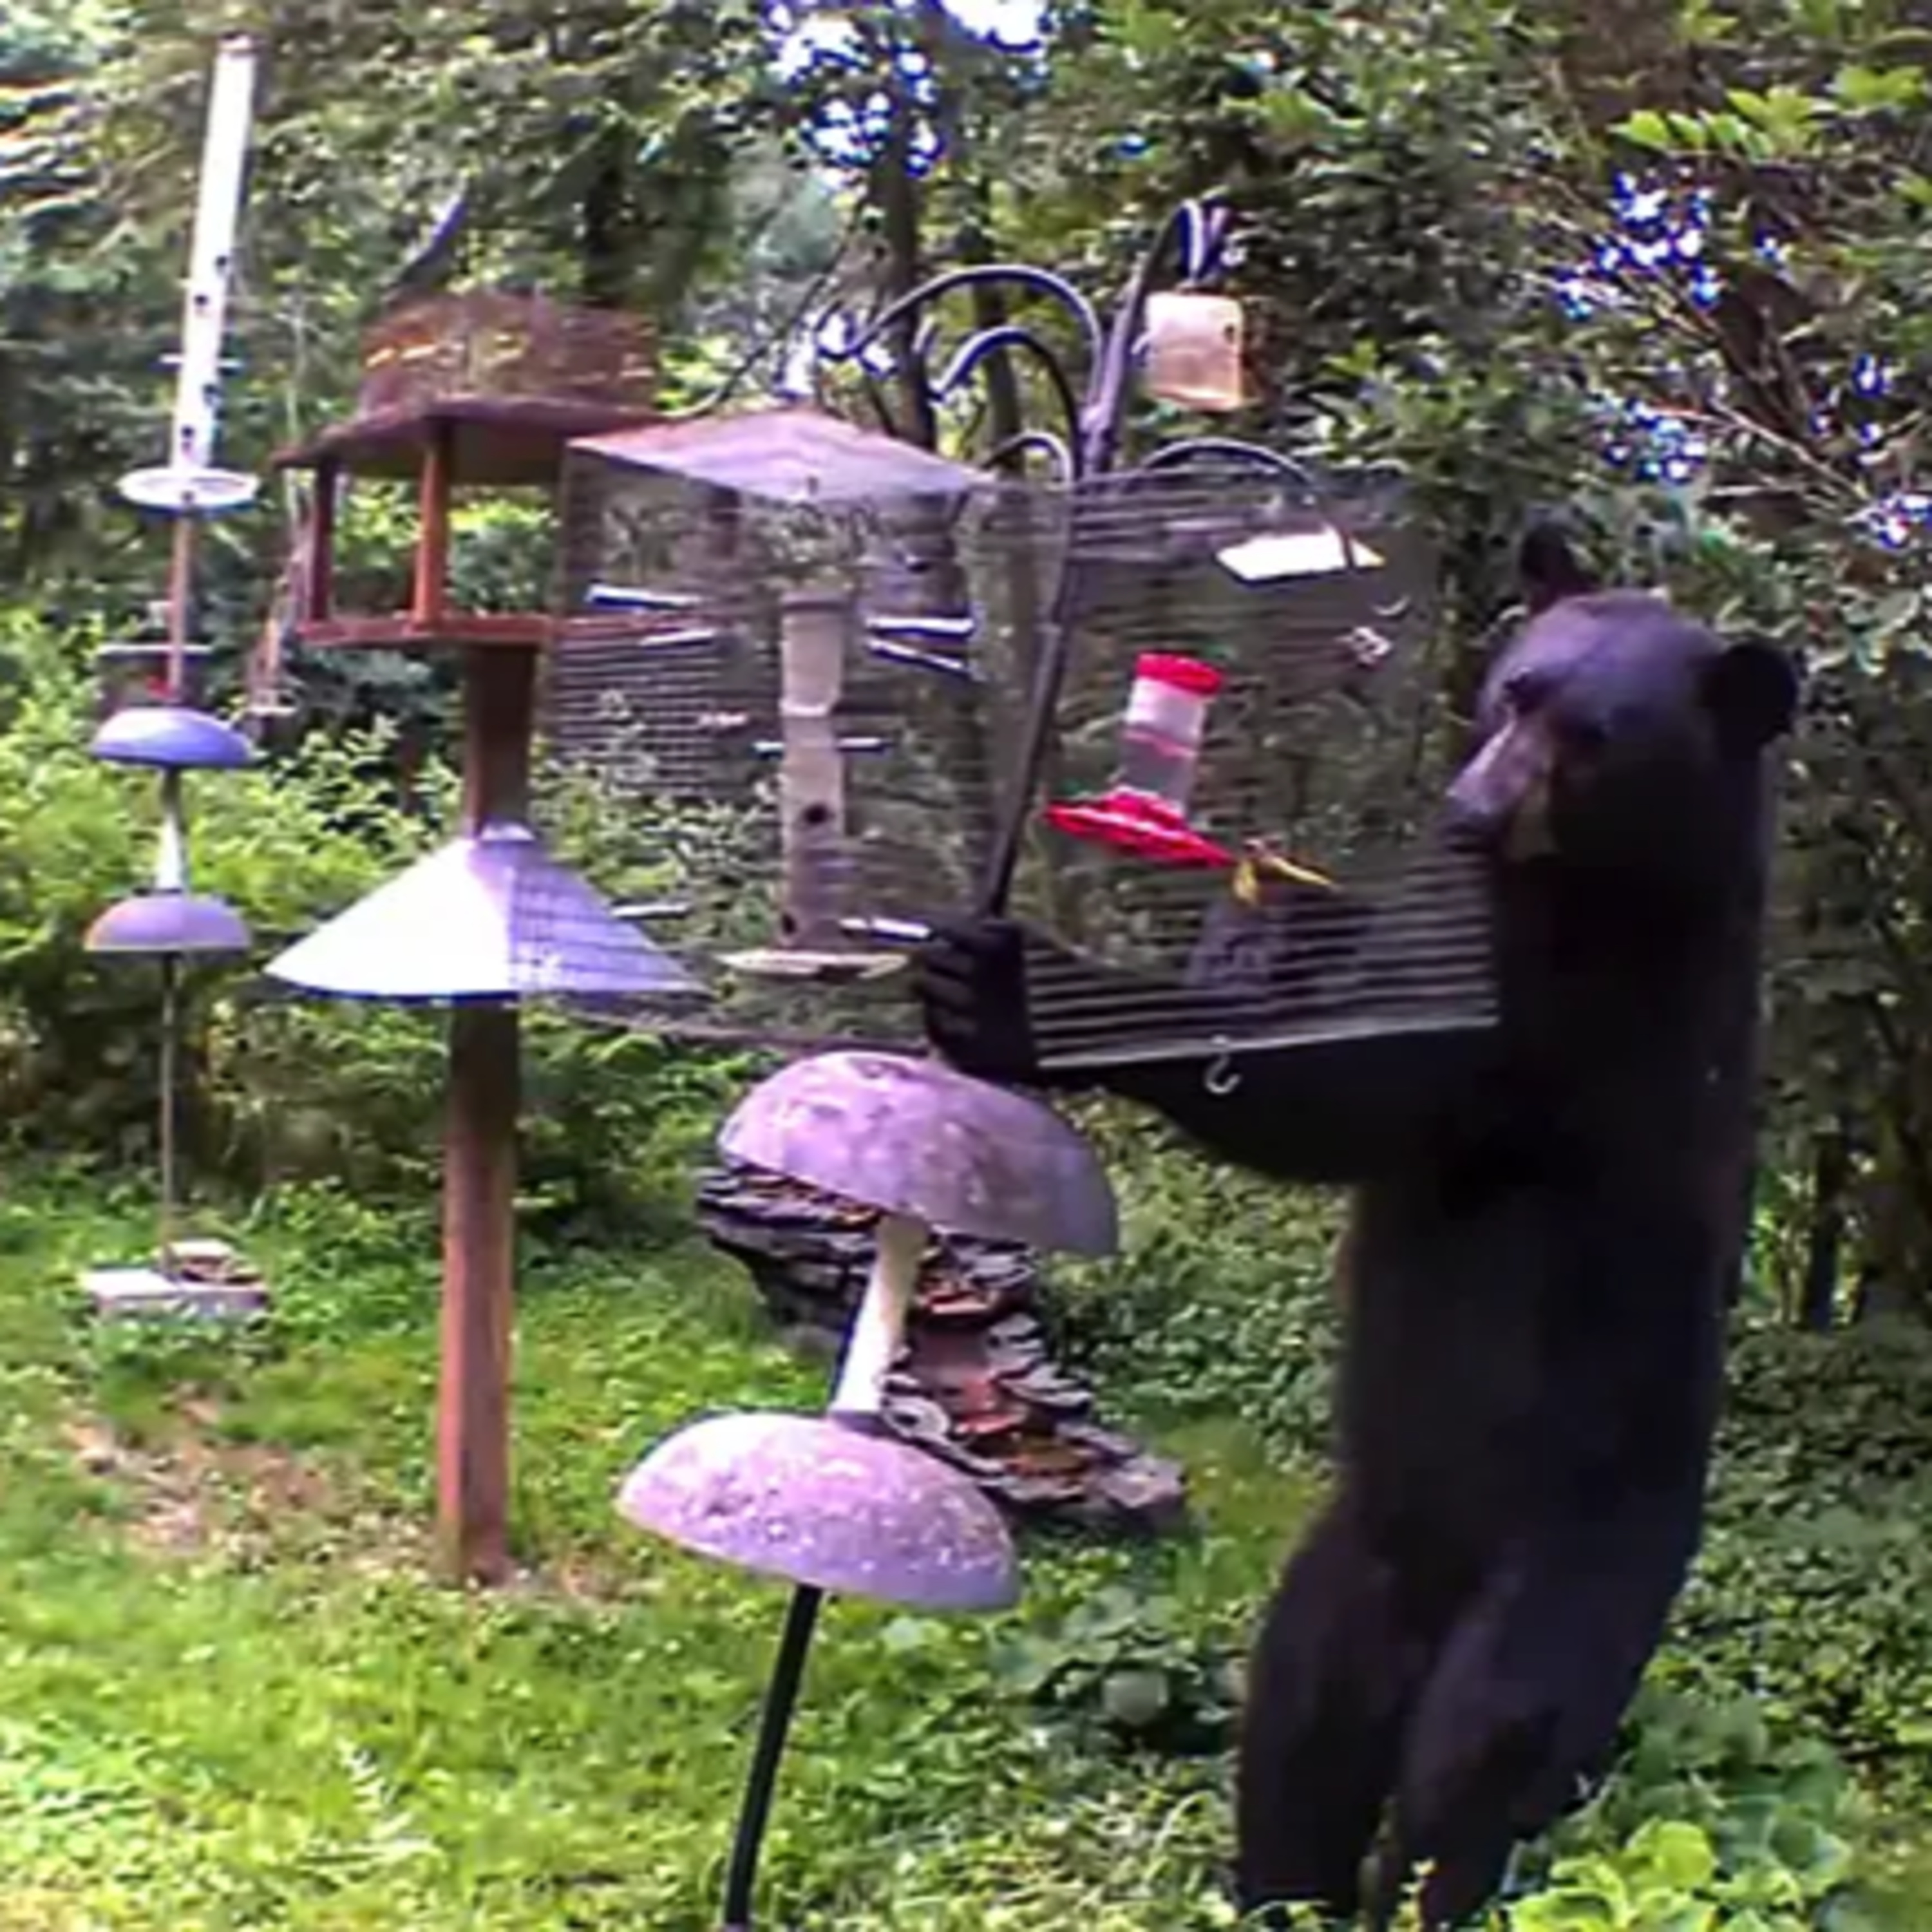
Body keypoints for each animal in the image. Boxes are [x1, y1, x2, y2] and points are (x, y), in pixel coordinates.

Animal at [913, 527, 1800, 1927]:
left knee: (1473, 1774)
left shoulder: (1577, 1019)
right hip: (1344, 1568)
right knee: (1295, 1734)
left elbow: (1349, 1092)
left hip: (1577, 1569)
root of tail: (1435, 1589)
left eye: (1594, 733)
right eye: (1515, 689)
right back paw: (1276, 1890)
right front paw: (1260, 906)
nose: (1471, 810)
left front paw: (1012, 989)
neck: (1590, 884)